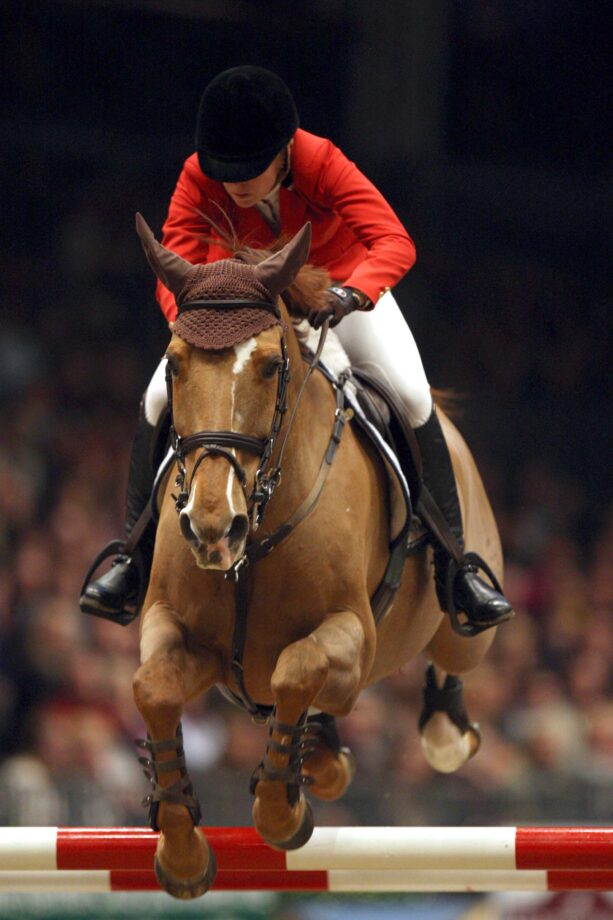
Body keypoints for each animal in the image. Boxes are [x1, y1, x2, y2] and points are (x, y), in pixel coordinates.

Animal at [131, 216, 504, 899]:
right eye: (174, 364)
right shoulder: (176, 630)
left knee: (453, 657)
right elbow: (154, 690)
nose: (212, 526)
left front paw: (281, 810)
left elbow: (295, 669)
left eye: (270, 366)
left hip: (461, 627)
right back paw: (324, 755)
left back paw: (439, 727)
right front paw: (183, 852)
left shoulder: (352, 635)